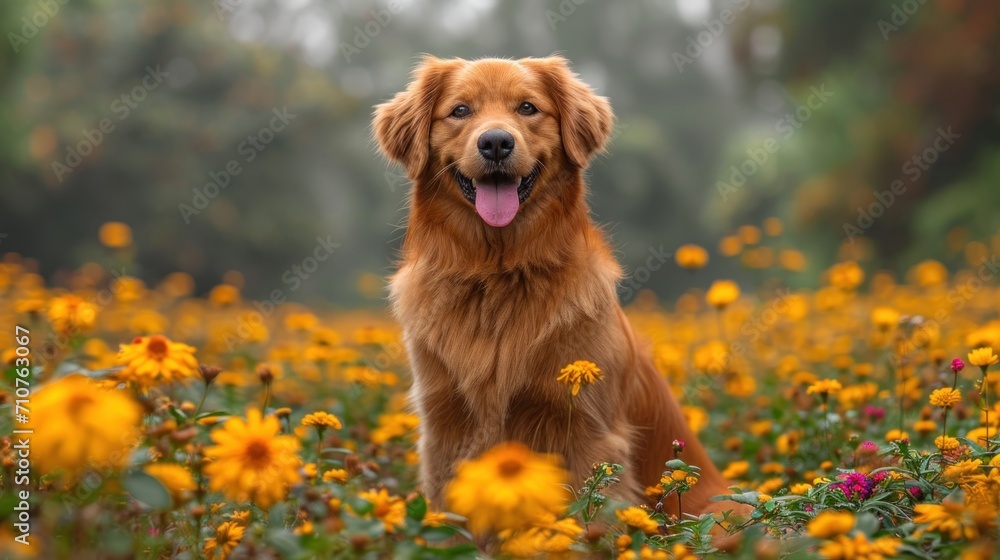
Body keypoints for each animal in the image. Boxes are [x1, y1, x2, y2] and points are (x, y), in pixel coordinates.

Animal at [374, 55, 744, 528]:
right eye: (460, 111)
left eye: (528, 108)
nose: (496, 142)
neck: (497, 272)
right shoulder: (444, 425)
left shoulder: (588, 429)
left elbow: (594, 515)